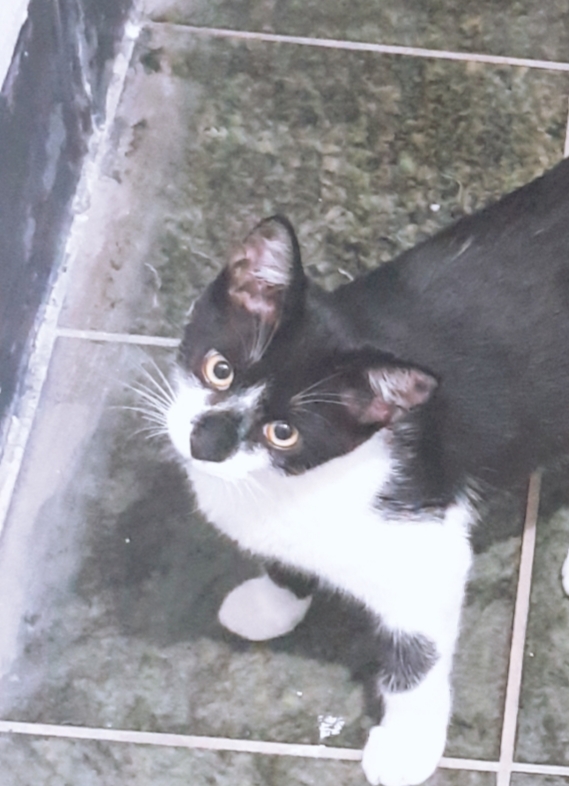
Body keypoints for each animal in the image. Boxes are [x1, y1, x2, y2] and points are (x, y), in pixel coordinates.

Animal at [164, 155, 569, 786]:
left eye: (284, 432)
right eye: (220, 369)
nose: (205, 442)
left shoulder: (426, 540)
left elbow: (417, 654)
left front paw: (406, 744)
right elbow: (285, 559)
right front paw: (272, 604)